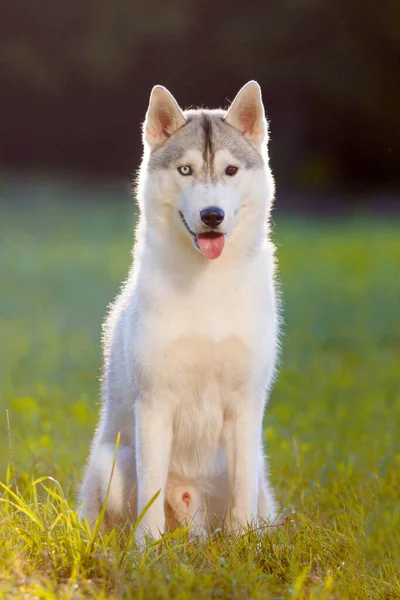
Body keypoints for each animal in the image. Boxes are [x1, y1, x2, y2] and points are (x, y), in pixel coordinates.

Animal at [79, 81, 280, 544]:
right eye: (186, 170)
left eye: (230, 170)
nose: (212, 216)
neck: (207, 284)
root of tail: (194, 527)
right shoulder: (155, 403)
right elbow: (150, 490)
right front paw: (147, 548)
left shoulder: (246, 405)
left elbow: (242, 490)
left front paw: (244, 544)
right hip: (110, 462)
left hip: (260, 479)